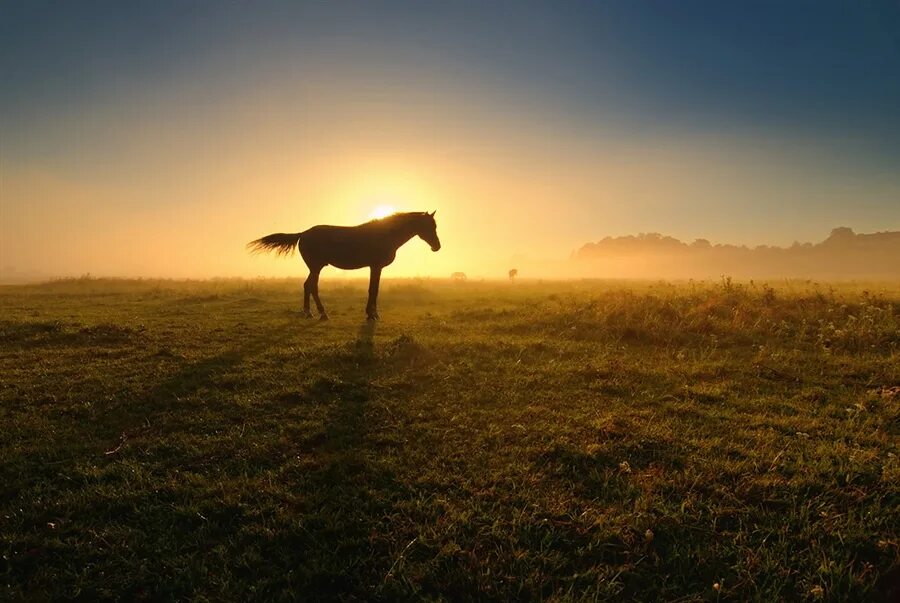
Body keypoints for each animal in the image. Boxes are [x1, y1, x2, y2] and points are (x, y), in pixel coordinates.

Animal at [248, 211, 442, 318]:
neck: (386, 234)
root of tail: (303, 233)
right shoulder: (375, 266)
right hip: (316, 267)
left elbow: (376, 289)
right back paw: (320, 313)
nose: (437, 246)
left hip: (315, 267)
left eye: (435, 226)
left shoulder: (376, 267)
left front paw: (373, 313)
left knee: (308, 286)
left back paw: (311, 313)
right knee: (311, 286)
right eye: (429, 226)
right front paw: (371, 315)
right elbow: (373, 290)